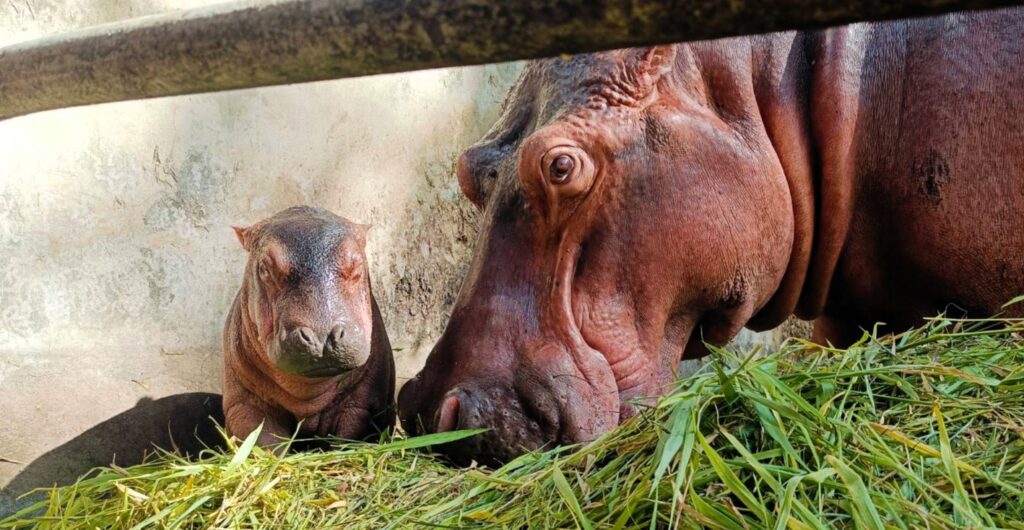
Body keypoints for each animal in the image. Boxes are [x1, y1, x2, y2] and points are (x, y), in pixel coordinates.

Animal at [222, 205, 393, 446]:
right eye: (264, 268)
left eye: (357, 264)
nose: (322, 337)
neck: (307, 393)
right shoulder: (244, 405)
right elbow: (263, 440)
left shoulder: (360, 405)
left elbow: (347, 438)